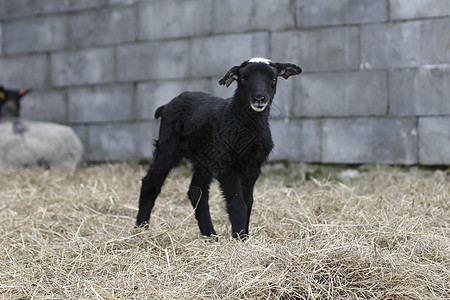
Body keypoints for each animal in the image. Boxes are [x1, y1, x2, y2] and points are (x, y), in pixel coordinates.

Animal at [135, 58, 300, 239]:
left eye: (274, 79)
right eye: (243, 80)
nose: (259, 98)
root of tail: (166, 106)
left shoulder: (253, 167)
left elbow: (248, 202)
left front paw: (244, 236)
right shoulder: (226, 165)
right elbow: (237, 203)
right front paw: (239, 238)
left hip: (204, 159)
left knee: (196, 191)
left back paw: (210, 236)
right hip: (168, 146)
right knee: (151, 182)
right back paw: (140, 229)